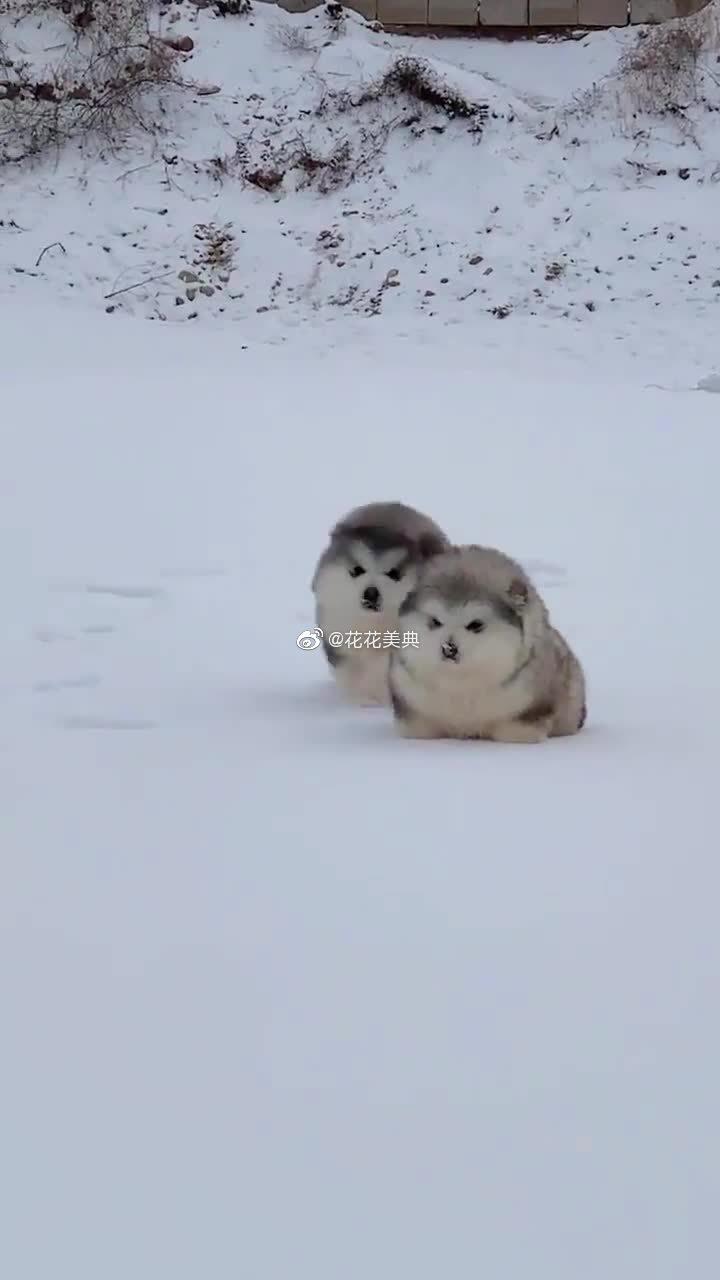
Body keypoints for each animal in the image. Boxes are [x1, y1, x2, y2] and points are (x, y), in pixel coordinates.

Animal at [310, 499, 445, 706]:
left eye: (394, 573)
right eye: (357, 570)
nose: (371, 593)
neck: (374, 624)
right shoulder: (336, 628)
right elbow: (348, 668)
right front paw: (361, 698)